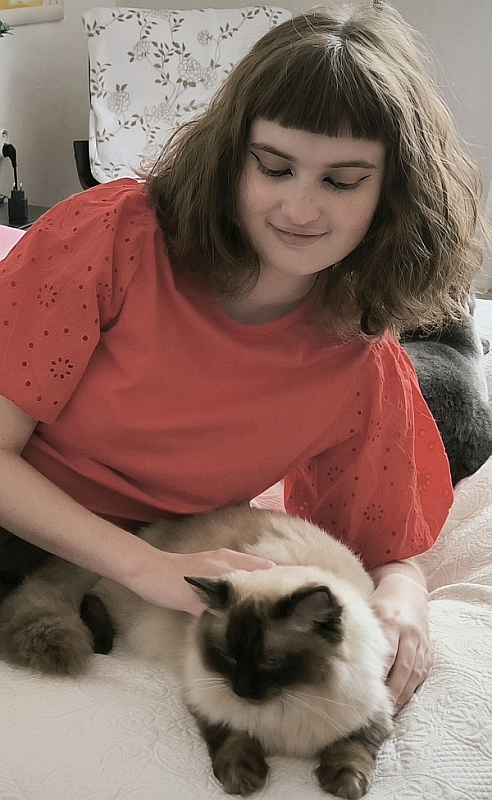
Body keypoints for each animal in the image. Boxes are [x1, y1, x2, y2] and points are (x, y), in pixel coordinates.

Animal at [0, 505, 393, 798]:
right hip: (129, 605)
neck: (288, 705)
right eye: (229, 656)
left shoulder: (372, 713)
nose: (242, 690)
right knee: (90, 600)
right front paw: (243, 780)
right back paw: (101, 642)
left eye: (271, 662)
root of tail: (145, 532)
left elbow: (352, 750)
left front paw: (345, 785)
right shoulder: (209, 700)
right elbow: (233, 741)